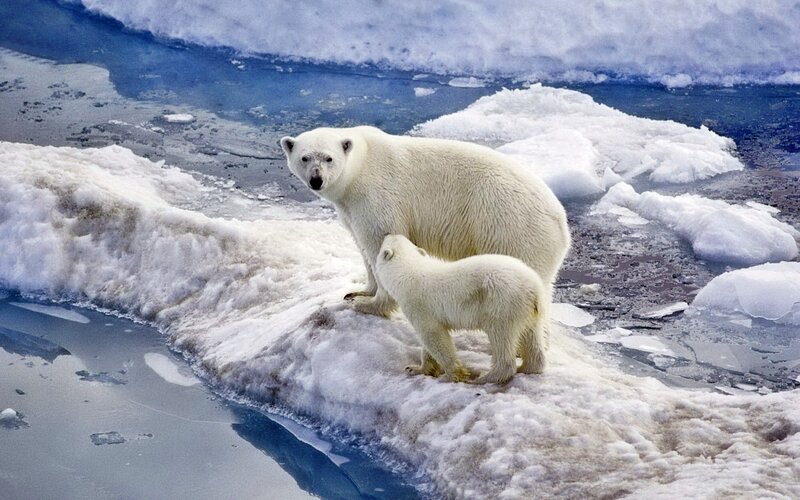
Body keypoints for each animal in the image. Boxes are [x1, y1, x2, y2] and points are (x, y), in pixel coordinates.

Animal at [375, 234, 546, 384]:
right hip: (527, 310)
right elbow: (429, 343)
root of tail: (534, 288)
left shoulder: (418, 305)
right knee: (531, 335)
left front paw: (452, 375)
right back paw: (527, 367)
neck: (409, 271)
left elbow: (434, 336)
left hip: (502, 303)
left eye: (385, 241)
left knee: (501, 337)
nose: (387, 233)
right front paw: (416, 368)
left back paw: (486, 377)